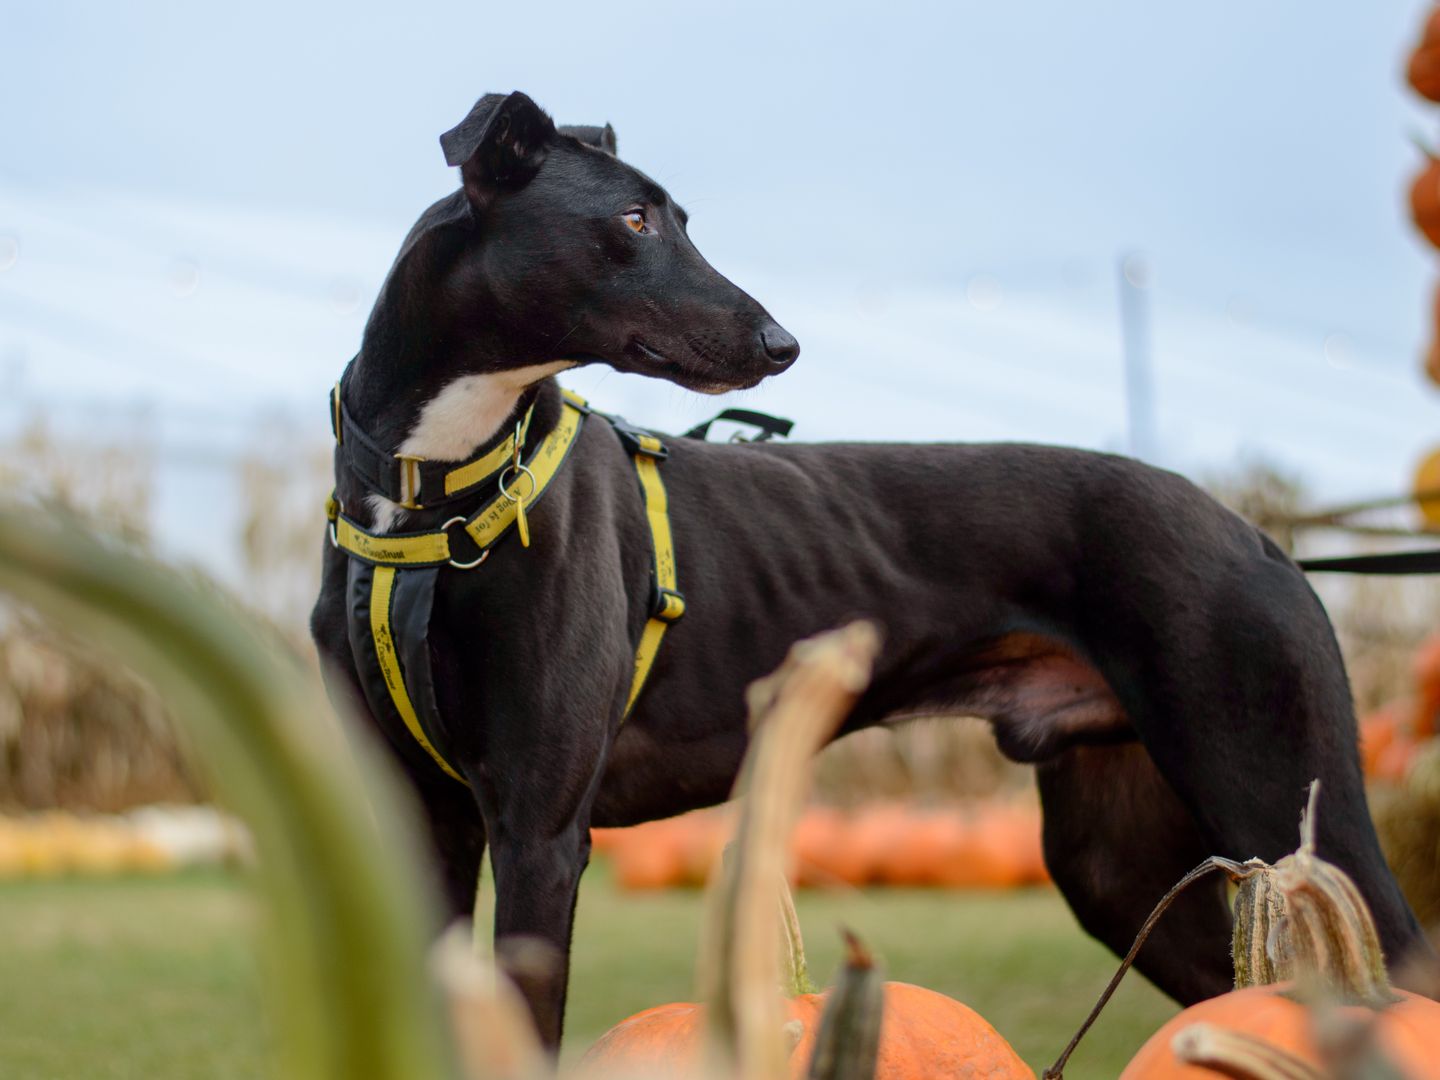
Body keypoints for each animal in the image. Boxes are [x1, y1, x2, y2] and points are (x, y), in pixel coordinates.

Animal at [309, 91, 1422, 1048]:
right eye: (632, 218)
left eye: (679, 219)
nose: (782, 343)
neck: (430, 488)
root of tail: (1247, 527)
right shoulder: (425, 821)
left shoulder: (539, 829)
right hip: (1120, 858)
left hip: (1280, 785)